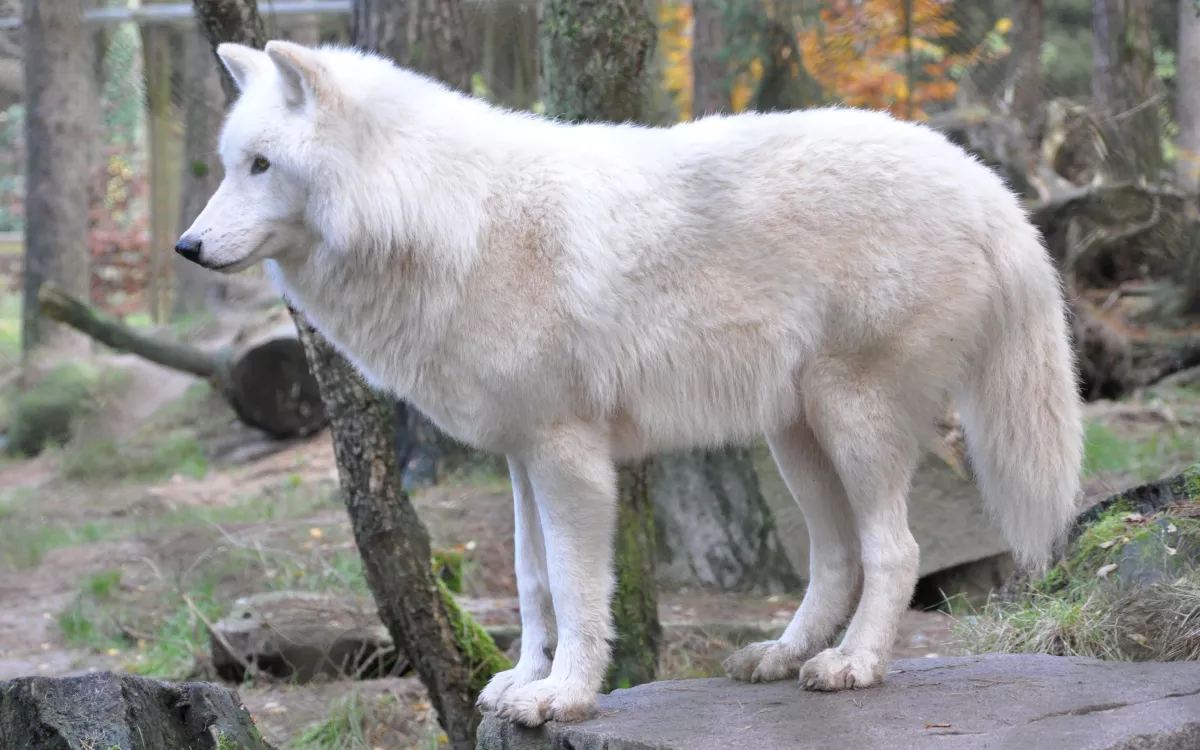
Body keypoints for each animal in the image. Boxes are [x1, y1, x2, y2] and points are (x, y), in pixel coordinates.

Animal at [180, 39, 1089, 724]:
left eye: (261, 165)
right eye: (230, 164)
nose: (187, 247)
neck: (449, 217)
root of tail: (986, 180)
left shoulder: (569, 457)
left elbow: (580, 590)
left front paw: (564, 697)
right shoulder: (520, 456)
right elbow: (532, 581)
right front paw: (523, 681)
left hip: (851, 419)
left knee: (895, 551)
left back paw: (853, 665)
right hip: (795, 436)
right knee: (836, 558)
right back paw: (783, 655)